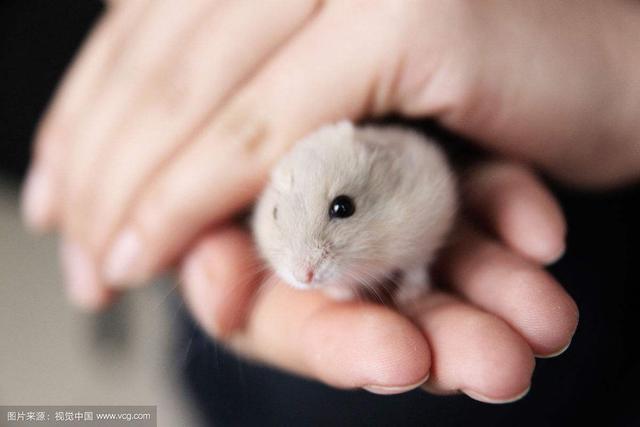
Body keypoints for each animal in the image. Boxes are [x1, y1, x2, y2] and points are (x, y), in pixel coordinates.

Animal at [252, 120, 458, 304]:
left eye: (342, 207)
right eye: (275, 212)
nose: (303, 277)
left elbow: (417, 267)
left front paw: (407, 297)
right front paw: (343, 295)